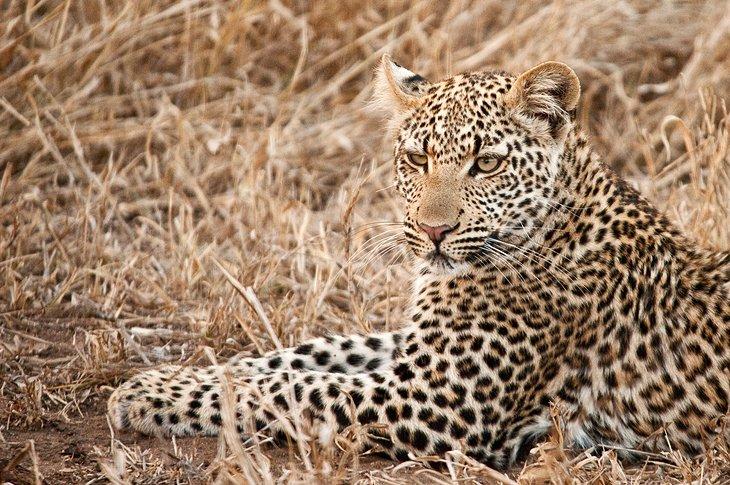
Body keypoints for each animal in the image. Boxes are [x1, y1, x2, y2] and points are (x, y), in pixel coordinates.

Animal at [108, 56, 729, 469]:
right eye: (416, 158)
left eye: (486, 164)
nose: (434, 231)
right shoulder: (416, 352)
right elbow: (303, 355)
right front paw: (169, 377)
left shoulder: (438, 399)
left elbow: (295, 388)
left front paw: (151, 397)